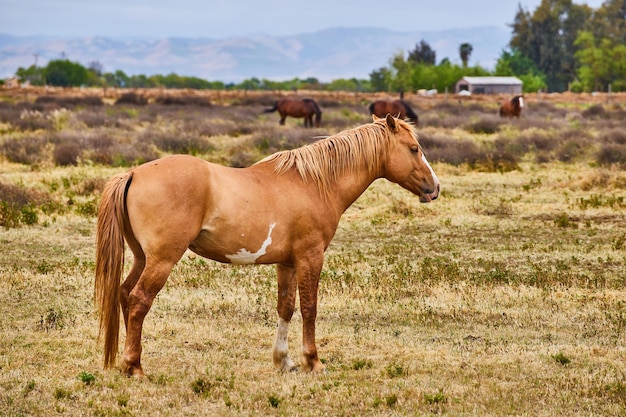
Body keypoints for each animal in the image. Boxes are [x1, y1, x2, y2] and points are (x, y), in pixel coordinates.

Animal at [96, 114, 438, 376]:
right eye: (414, 148)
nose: (434, 188)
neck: (313, 183)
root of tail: (133, 173)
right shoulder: (310, 257)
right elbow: (310, 308)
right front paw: (313, 361)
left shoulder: (287, 263)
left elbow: (286, 308)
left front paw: (284, 361)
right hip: (162, 259)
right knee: (139, 300)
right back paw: (134, 367)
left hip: (142, 257)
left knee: (125, 294)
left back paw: (128, 361)